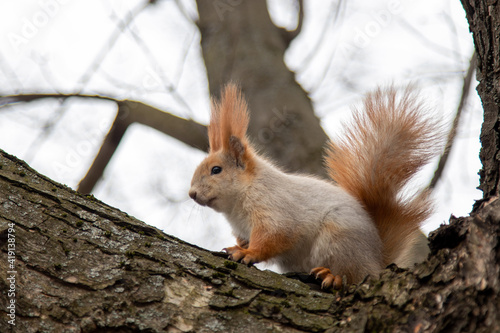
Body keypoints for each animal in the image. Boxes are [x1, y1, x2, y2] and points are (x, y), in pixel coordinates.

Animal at [189, 83, 444, 288]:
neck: (235, 205)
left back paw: (333, 276)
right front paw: (241, 245)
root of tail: (377, 260)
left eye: (216, 170)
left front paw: (247, 253)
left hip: (340, 239)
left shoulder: (275, 208)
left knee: (355, 274)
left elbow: (275, 236)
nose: (191, 194)